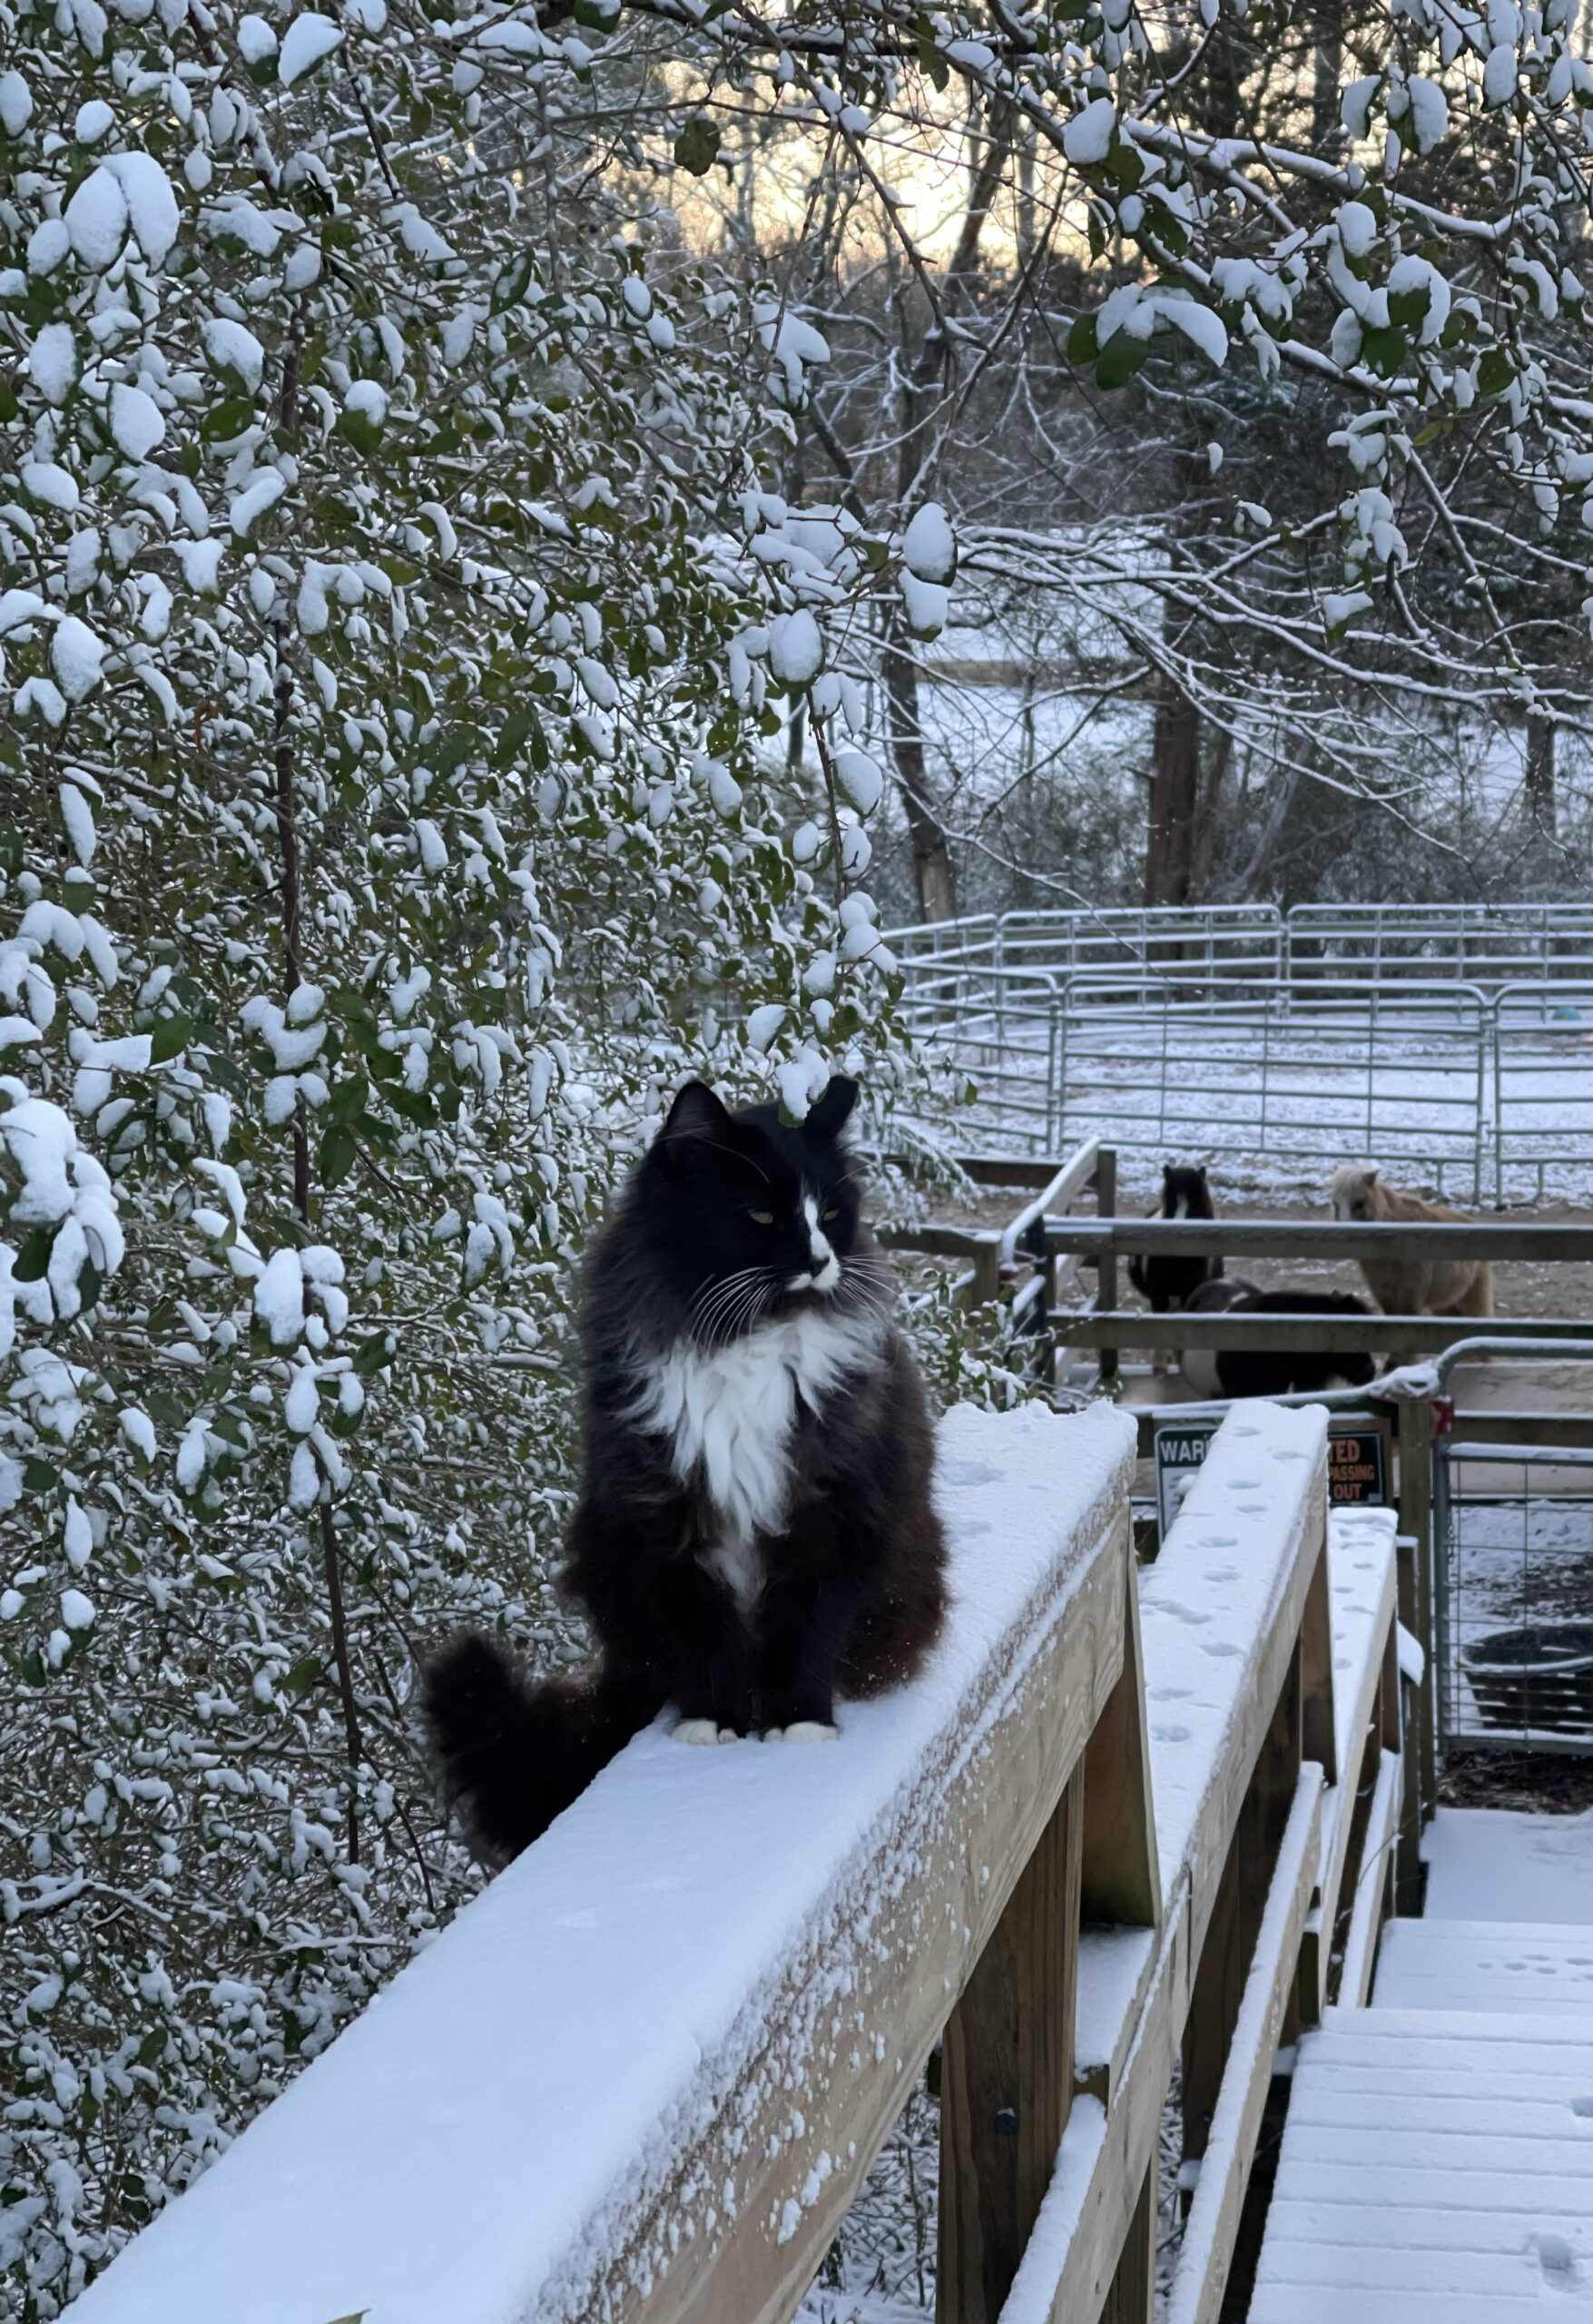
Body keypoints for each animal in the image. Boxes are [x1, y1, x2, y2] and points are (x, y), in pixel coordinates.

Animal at [420, 1073, 947, 1868]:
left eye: (830, 1212)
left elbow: (806, 1633)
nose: (821, 1260)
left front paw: (799, 1727)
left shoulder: (835, 1519)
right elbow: (704, 1638)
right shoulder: (663, 1525)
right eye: (761, 1214)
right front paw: (712, 1725)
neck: (743, 1344)